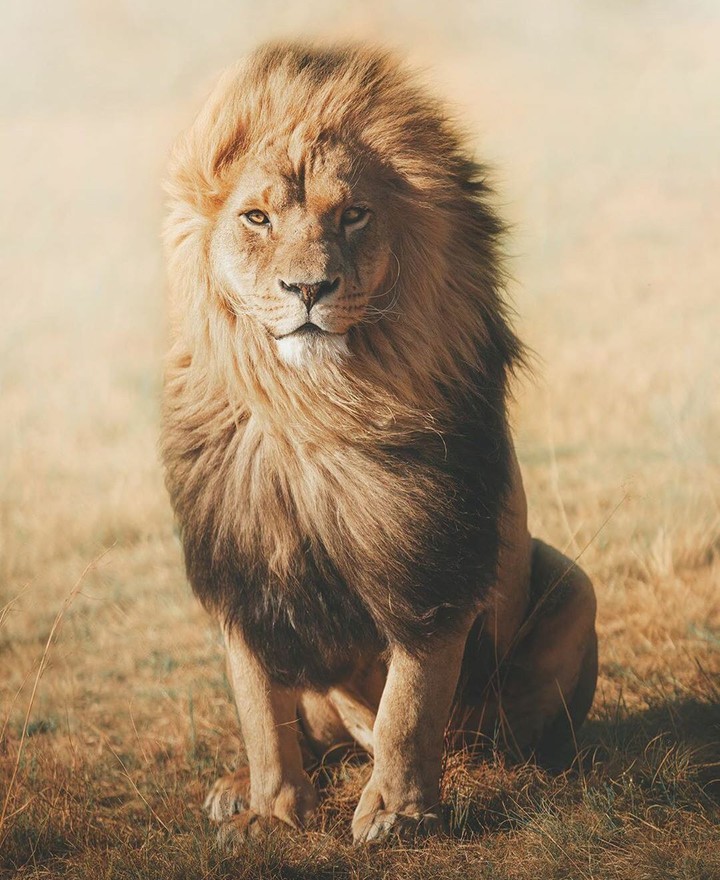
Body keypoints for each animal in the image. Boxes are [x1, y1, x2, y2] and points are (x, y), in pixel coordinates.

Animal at [161, 42, 598, 845]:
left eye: (354, 215)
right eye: (257, 217)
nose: (308, 289)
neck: (315, 406)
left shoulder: (433, 560)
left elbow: (409, 705)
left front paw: (395, 812)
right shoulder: (241, 560)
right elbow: (260, 710)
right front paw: (270, 811)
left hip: (572, 585)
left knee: (484, 731)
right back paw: (236, 788)